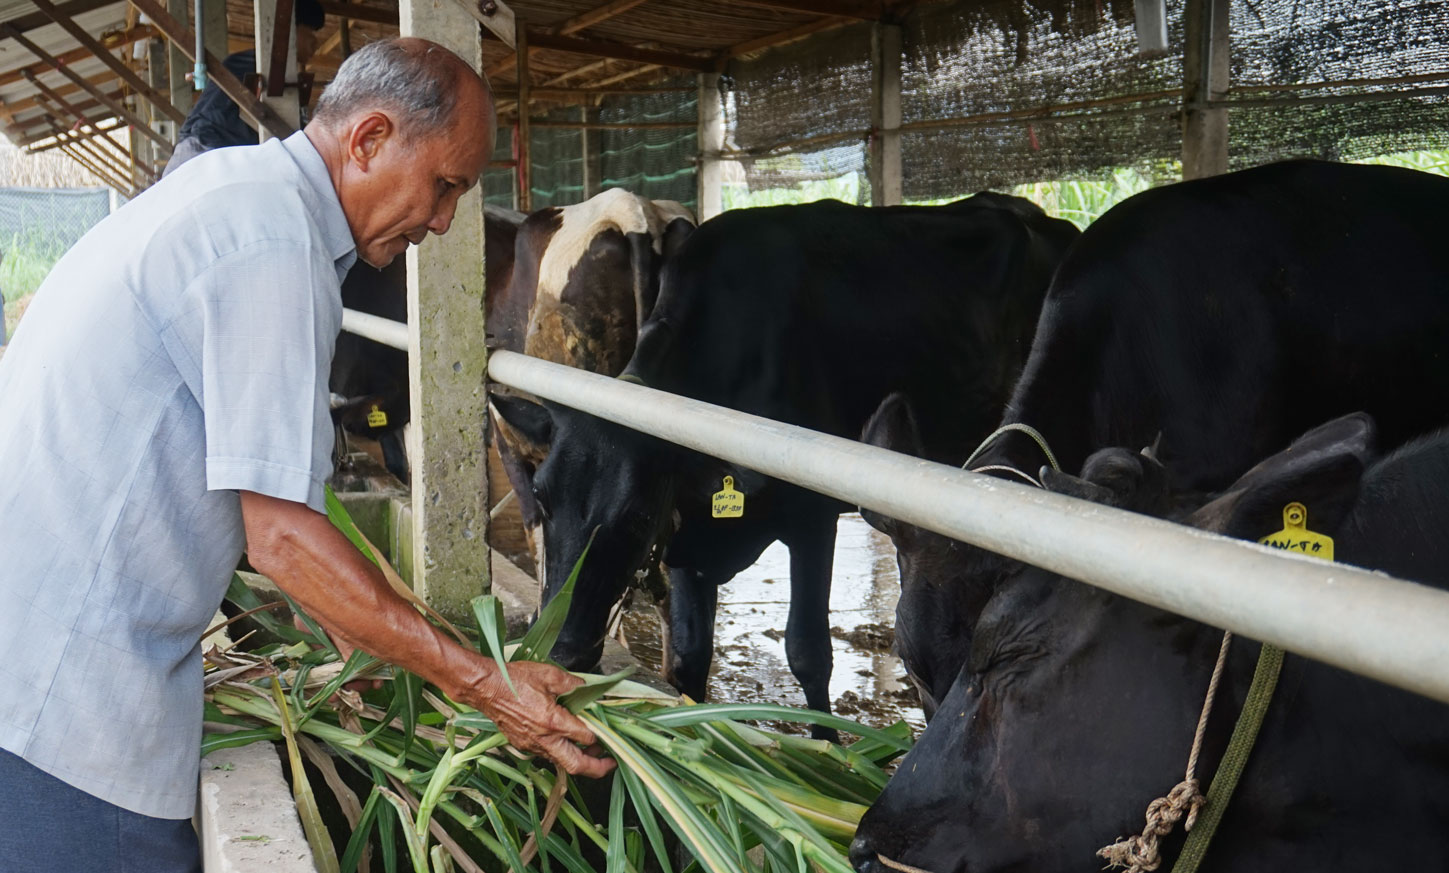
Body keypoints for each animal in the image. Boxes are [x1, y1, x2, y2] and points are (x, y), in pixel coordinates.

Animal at [492, 191, 1083, 727]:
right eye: (544, 499)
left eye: (636, 517)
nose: (559, 652)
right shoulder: (687, 534)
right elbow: (689, 658)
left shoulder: (812, 517)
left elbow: (807, 652)